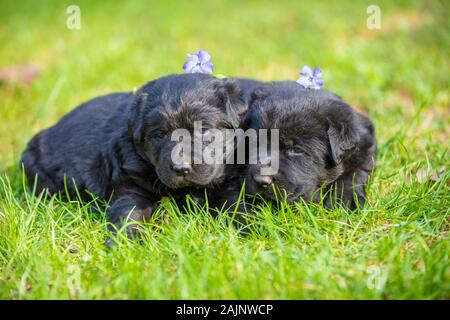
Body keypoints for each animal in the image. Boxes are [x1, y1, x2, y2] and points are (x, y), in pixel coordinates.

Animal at [21, 74, 246, 236]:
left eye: (204, 129)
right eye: (160, 134)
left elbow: (236, 204)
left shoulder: (228, 181)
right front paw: (126, 241)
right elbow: (130, 211)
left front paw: (249, 228)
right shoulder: (131, 181)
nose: (182, 168)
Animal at [236, 80, 380, 210]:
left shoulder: (365, 147)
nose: (261, 180)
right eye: (254, 143)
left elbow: (356, 172)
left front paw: (346, 199)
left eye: (296, 149)